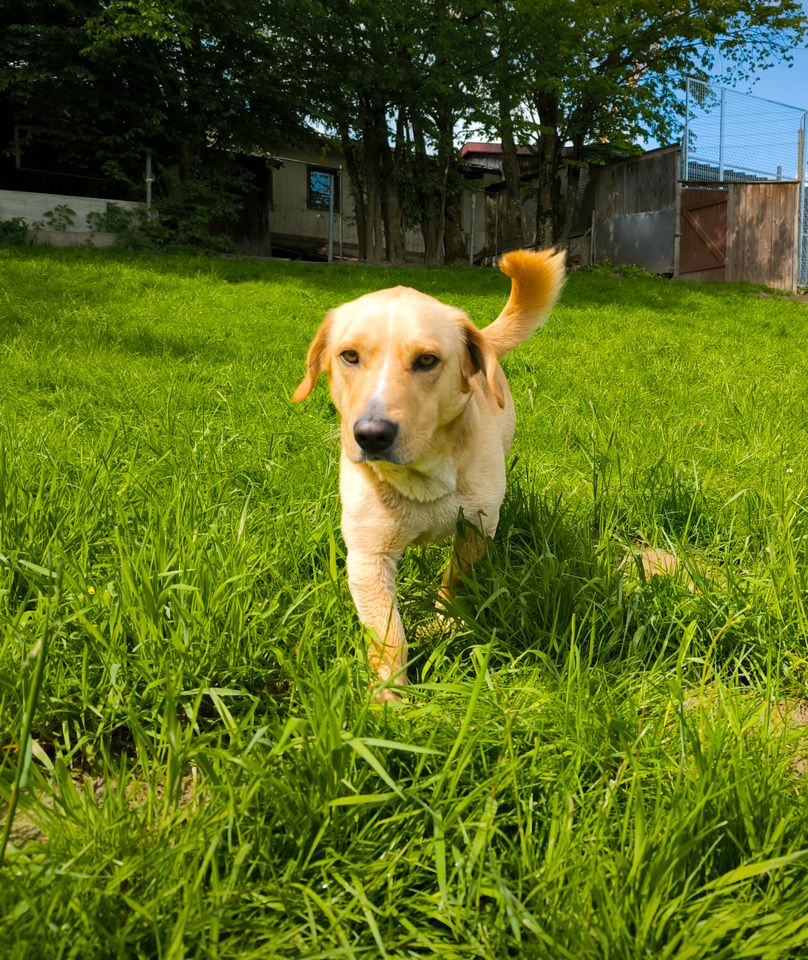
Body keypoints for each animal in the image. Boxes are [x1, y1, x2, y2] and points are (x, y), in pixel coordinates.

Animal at [294, 248, 564, 696]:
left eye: (426, 360)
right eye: (349, 356)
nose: (371, 435)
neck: (422, 478)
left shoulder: (477, 529)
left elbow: (454, 582)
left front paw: (443, 624)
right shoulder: (368, 556)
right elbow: (388, 636)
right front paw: (389, 697)